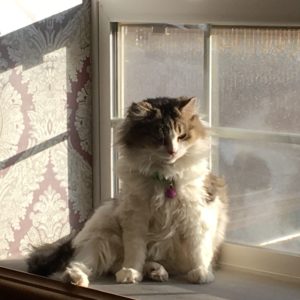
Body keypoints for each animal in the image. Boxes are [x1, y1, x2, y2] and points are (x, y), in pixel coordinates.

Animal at [27, 97, 227, 288]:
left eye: (182, 136)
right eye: (159, 138)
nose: (172, 151)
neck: (164, 178)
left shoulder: (196, 215)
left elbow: (198, 250)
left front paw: (201, 273)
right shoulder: (135, 218)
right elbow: (135, 252)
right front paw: (131, 272)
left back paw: (156, 271)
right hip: (101, 234)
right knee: (80, 264)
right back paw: (77, 279)